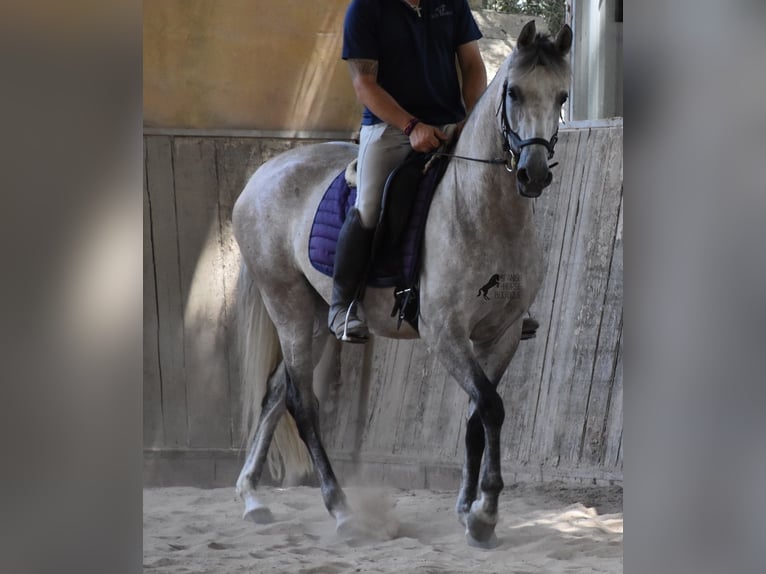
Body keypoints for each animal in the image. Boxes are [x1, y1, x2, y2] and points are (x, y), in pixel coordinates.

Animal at [231, 19, 572, 548]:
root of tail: (262, 175)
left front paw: (467, 508)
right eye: (514, 92)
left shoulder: (503, 334)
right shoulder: (444, 332)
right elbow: (491, 407)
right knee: (300, 402)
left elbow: (476, 417)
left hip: (313, 315)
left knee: (274, 392)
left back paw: (253, 498)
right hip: (287, 304)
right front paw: (484, 513)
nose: (532, 175)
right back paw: (342, 511)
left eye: (562, 96)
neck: (483, 211)